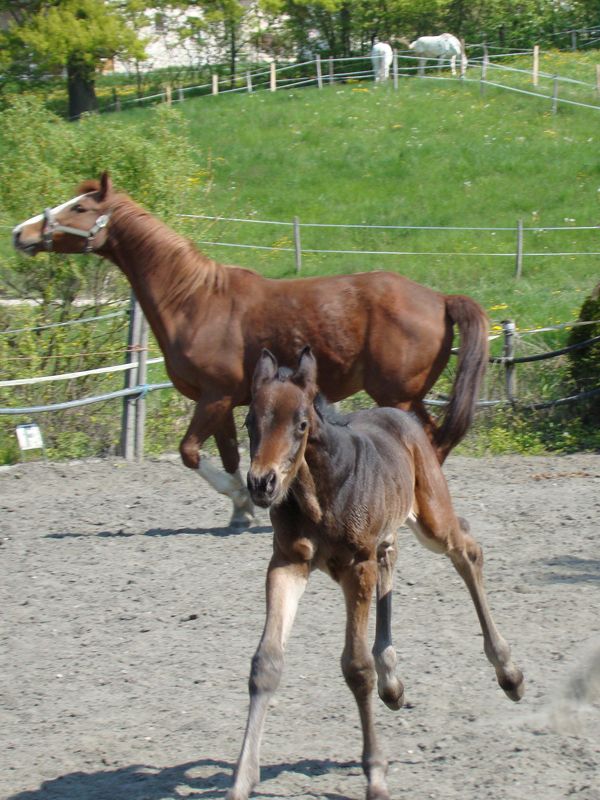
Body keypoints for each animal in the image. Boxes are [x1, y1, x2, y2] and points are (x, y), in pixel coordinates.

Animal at [12, 172, 489, 528]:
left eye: (80, 208)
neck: (195, 300)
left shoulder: (214, 397)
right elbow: (226, 455)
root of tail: (439, 298)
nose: (21, 232)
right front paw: (241, 509)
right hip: (408, 395)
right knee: (436, 438)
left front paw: (245, 499)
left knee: (426, 440)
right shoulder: (222, 402)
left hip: (397, 395)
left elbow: (190, 452)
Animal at [229, 347, 524, 800]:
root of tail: (402, 417)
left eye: (300, 423)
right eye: (249, 421)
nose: (262, 483)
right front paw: (242, 779)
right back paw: (393, 683)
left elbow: (356, 666)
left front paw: (376, 775)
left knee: (467, 551)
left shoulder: (357, 565)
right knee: (393, 558)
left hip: (431, 517)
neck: (319, 492)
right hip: (386, 534)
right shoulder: (287, 563)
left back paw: (508, 673)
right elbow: (267, 662)